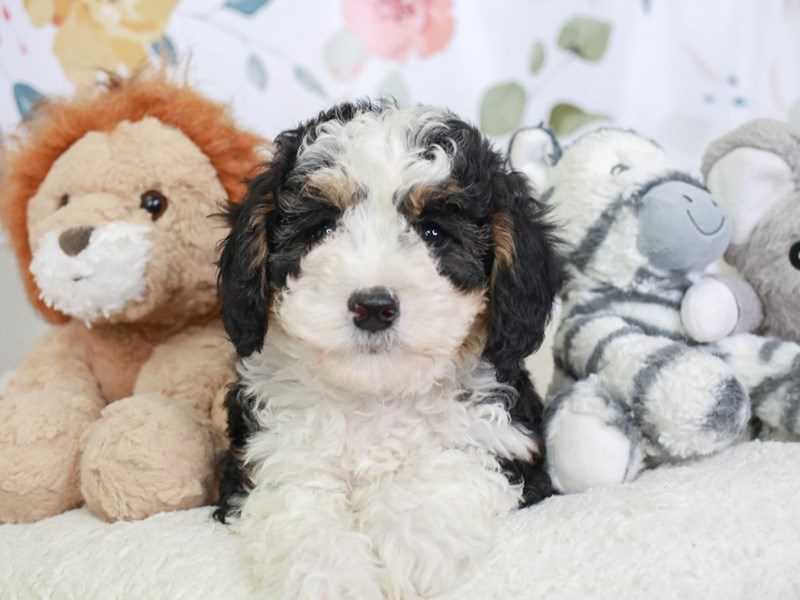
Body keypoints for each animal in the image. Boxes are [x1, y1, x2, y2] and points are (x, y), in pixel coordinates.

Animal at [212, 101, 564, 596]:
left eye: (433, 233)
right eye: (322, 229)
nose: (373, 307)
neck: (376, 396)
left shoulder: (511, 447)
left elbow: (453, 463)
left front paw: (415, 541)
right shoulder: (263, 456)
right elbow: (297, 503)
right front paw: (331, 576)